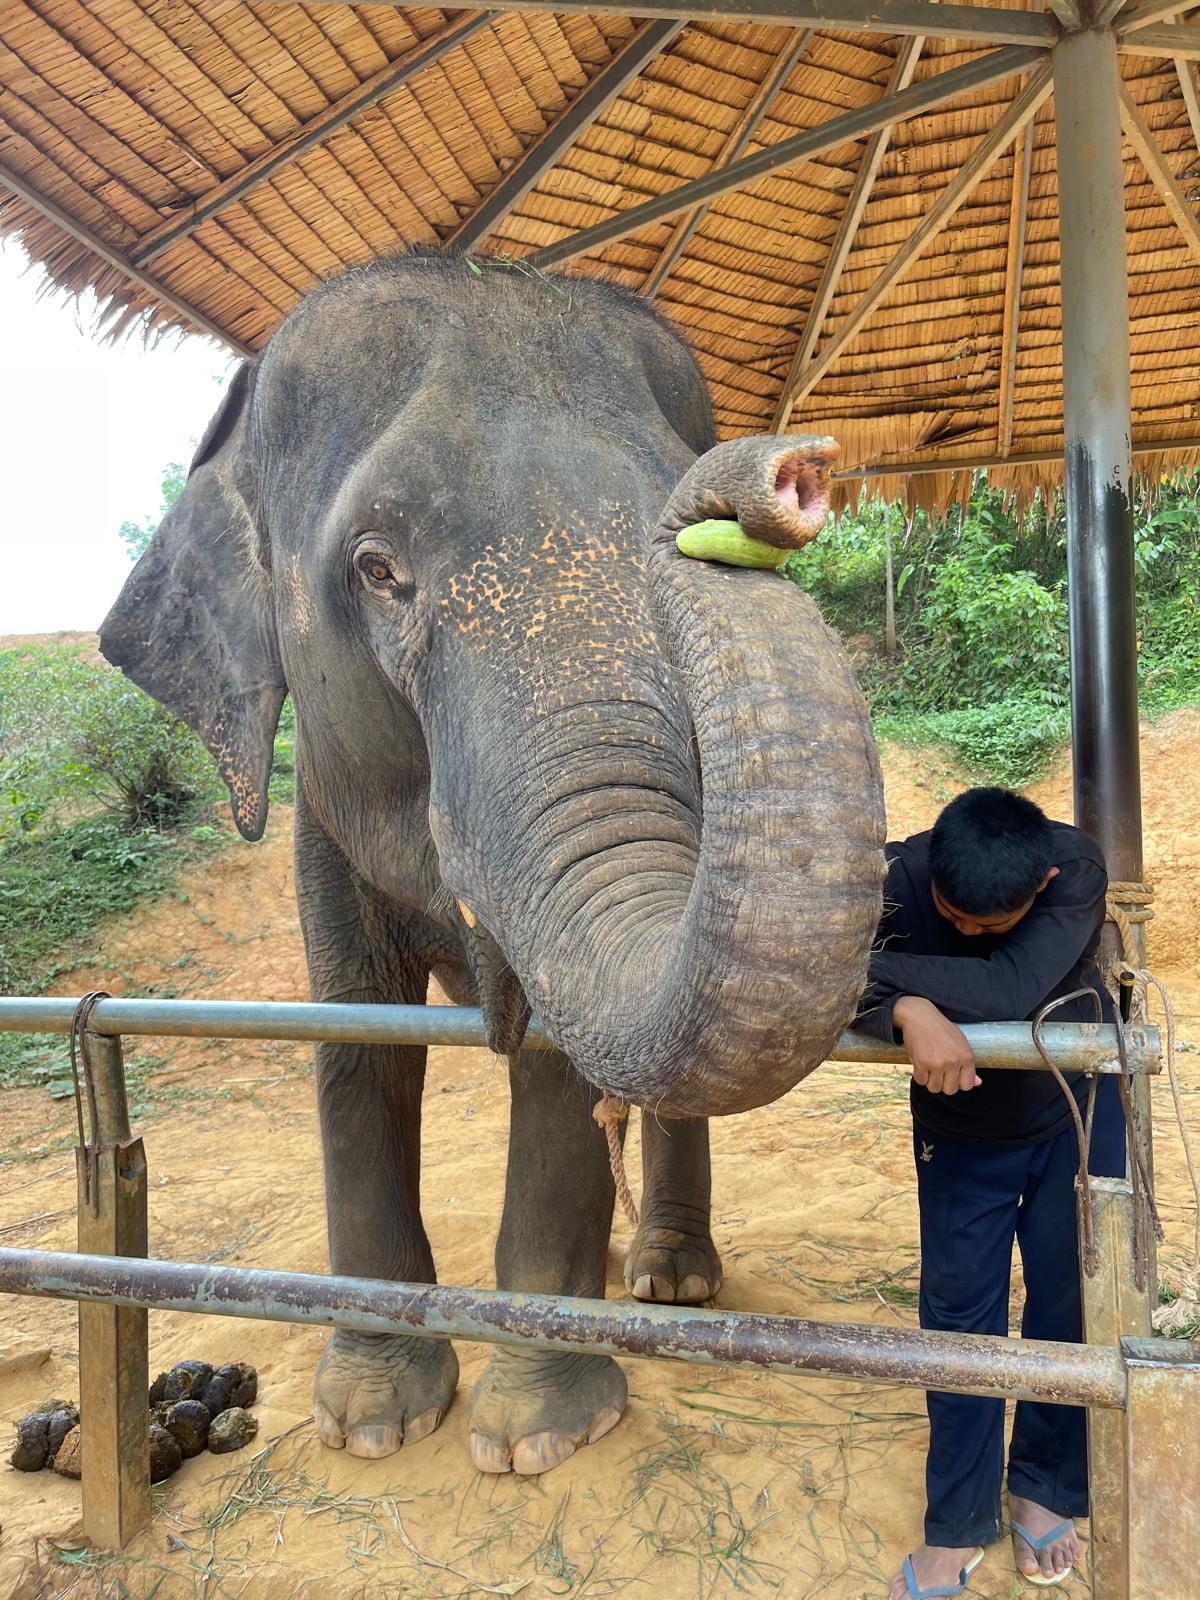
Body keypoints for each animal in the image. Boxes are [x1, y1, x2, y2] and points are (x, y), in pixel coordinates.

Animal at [101, 247, 885, 1477]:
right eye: (377, 567)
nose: (790, 473)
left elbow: (556, 1067)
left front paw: (536, 1437)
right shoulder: (322, 816)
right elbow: (357, 1042)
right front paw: (374, 1423)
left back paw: (667, 1285)